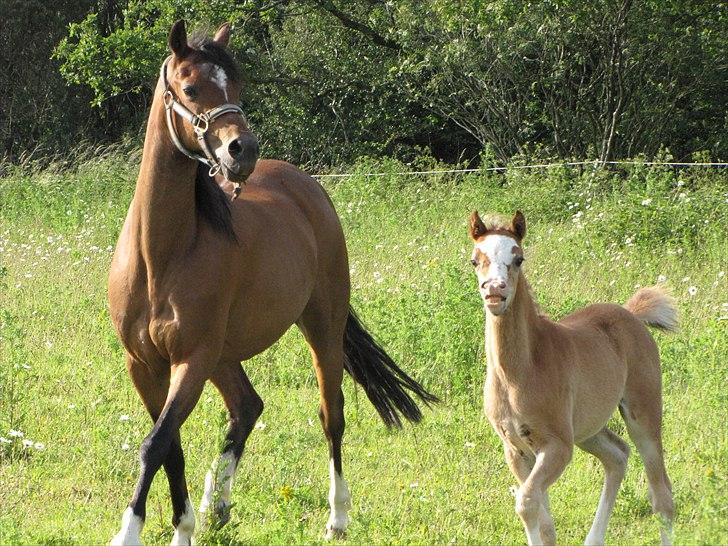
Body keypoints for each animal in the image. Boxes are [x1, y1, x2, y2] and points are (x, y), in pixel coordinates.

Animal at [107, 20, 436, 545]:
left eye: (237, 86)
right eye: (189, 87)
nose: (242, 150)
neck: (161, 255)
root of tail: (307, 187)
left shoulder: (190, 359)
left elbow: (156, 444)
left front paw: (137, 530)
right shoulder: (144, 364)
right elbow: (169, 446)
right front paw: (183, 526)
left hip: (319, 328)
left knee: (331, 414)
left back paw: (336, 517)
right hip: (224, 356)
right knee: (247, 407)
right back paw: (216, 504)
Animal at [468, 210, 675, 546]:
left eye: (518, 258)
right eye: (475, 259)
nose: (495, 292)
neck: (519, 373)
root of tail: (631, 314)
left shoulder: (558, 446)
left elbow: (526, 502)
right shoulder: (516, 450)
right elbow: (544, 522)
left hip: (642, 413)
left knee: (662, 496)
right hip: (588, 429)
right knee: (617, 456)